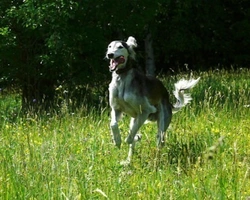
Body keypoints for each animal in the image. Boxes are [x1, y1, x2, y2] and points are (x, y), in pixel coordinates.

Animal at [105, 36, 199, 164]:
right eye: (109, 46)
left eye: (120, 47)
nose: (109, 54)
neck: (122, 78)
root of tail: (167, 99)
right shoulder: (116, 109)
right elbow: (113, 124)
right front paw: (117, 140)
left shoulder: (146, 110)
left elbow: (131, 136)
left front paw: (129, 139)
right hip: (135, 119)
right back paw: (128, 161)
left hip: (162, 123)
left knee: (159, 142)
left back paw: (156, 160)